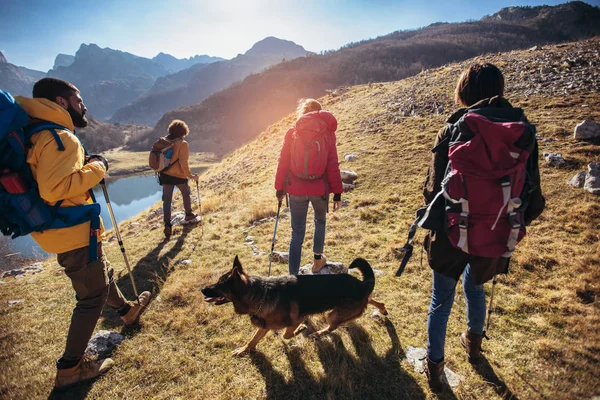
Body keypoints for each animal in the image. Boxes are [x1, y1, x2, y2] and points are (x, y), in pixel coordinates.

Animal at [202, 255, 390, 354]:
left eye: (219, 285)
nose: (202, 289)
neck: (261, 294)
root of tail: (362, 285)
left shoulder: (297, 319)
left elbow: (287, 334)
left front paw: (301, 331)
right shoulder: (264, 325)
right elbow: (253, 340)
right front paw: (243, 350)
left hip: (333, 314)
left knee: (332, 327)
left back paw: (317, 333)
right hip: (352, 305)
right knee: (372, 299)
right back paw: (382, 308)